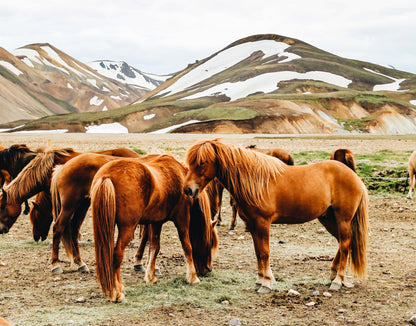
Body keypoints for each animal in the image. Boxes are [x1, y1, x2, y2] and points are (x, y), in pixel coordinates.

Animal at [90, 155, 218, 304]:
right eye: (209, 243)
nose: (208, 269)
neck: (180, 176)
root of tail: (106, 176)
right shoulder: (182, 219)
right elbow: (187, 247)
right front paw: (193, 278)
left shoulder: (156, 222)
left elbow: (154, 248)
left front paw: (150, 277)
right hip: (127, 228)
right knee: (117, 255)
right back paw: (117, 293)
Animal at [184, 139, 368, 292]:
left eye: (202, 162)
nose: (188, 190)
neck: (256, 181)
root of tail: (354, 176)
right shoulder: (252, 225)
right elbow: (258, 253)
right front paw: (260, 281)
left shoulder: (262, 223)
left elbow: (265, 252)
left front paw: (266, 283)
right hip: (328, 219)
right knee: (342, 243)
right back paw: (334, 275)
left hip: (343, 219)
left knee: (345, 244)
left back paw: (338, 281)